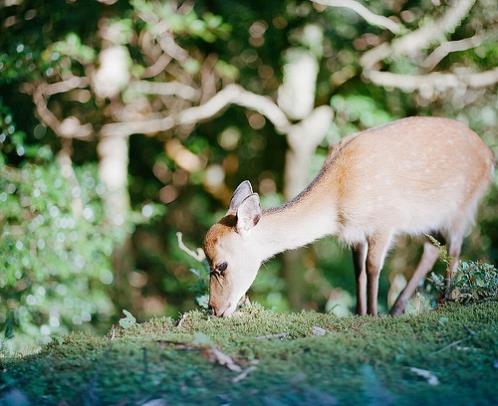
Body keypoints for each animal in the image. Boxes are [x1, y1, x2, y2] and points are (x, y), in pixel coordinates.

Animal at [203, 117, 494, 318]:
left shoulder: (384, 221)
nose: (215, 308)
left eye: (222, 265)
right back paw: (398, 307)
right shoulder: (354, 232)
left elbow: (373, 267)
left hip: (463, 204)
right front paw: (360, 313)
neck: (339, 204)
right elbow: (358, 270)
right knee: (434, 247)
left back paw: (444, 301)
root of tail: (489, 155)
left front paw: (373, 315)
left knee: (454, 249)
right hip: (428, 217)